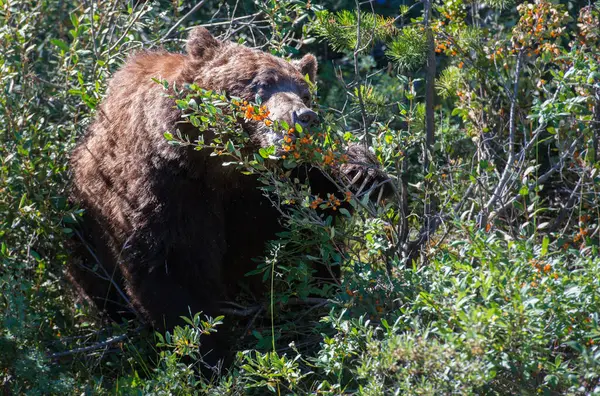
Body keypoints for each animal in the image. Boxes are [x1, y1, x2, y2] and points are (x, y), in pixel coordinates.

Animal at [69, 27, 390, 366]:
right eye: (260, 84)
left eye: (305, 92)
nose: (304, 116)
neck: (227, 166)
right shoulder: (170, 185)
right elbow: (175, 268)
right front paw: (210, 353)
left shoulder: (273, 187)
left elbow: (314, 215)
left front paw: (364, 174)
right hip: (84, 233)